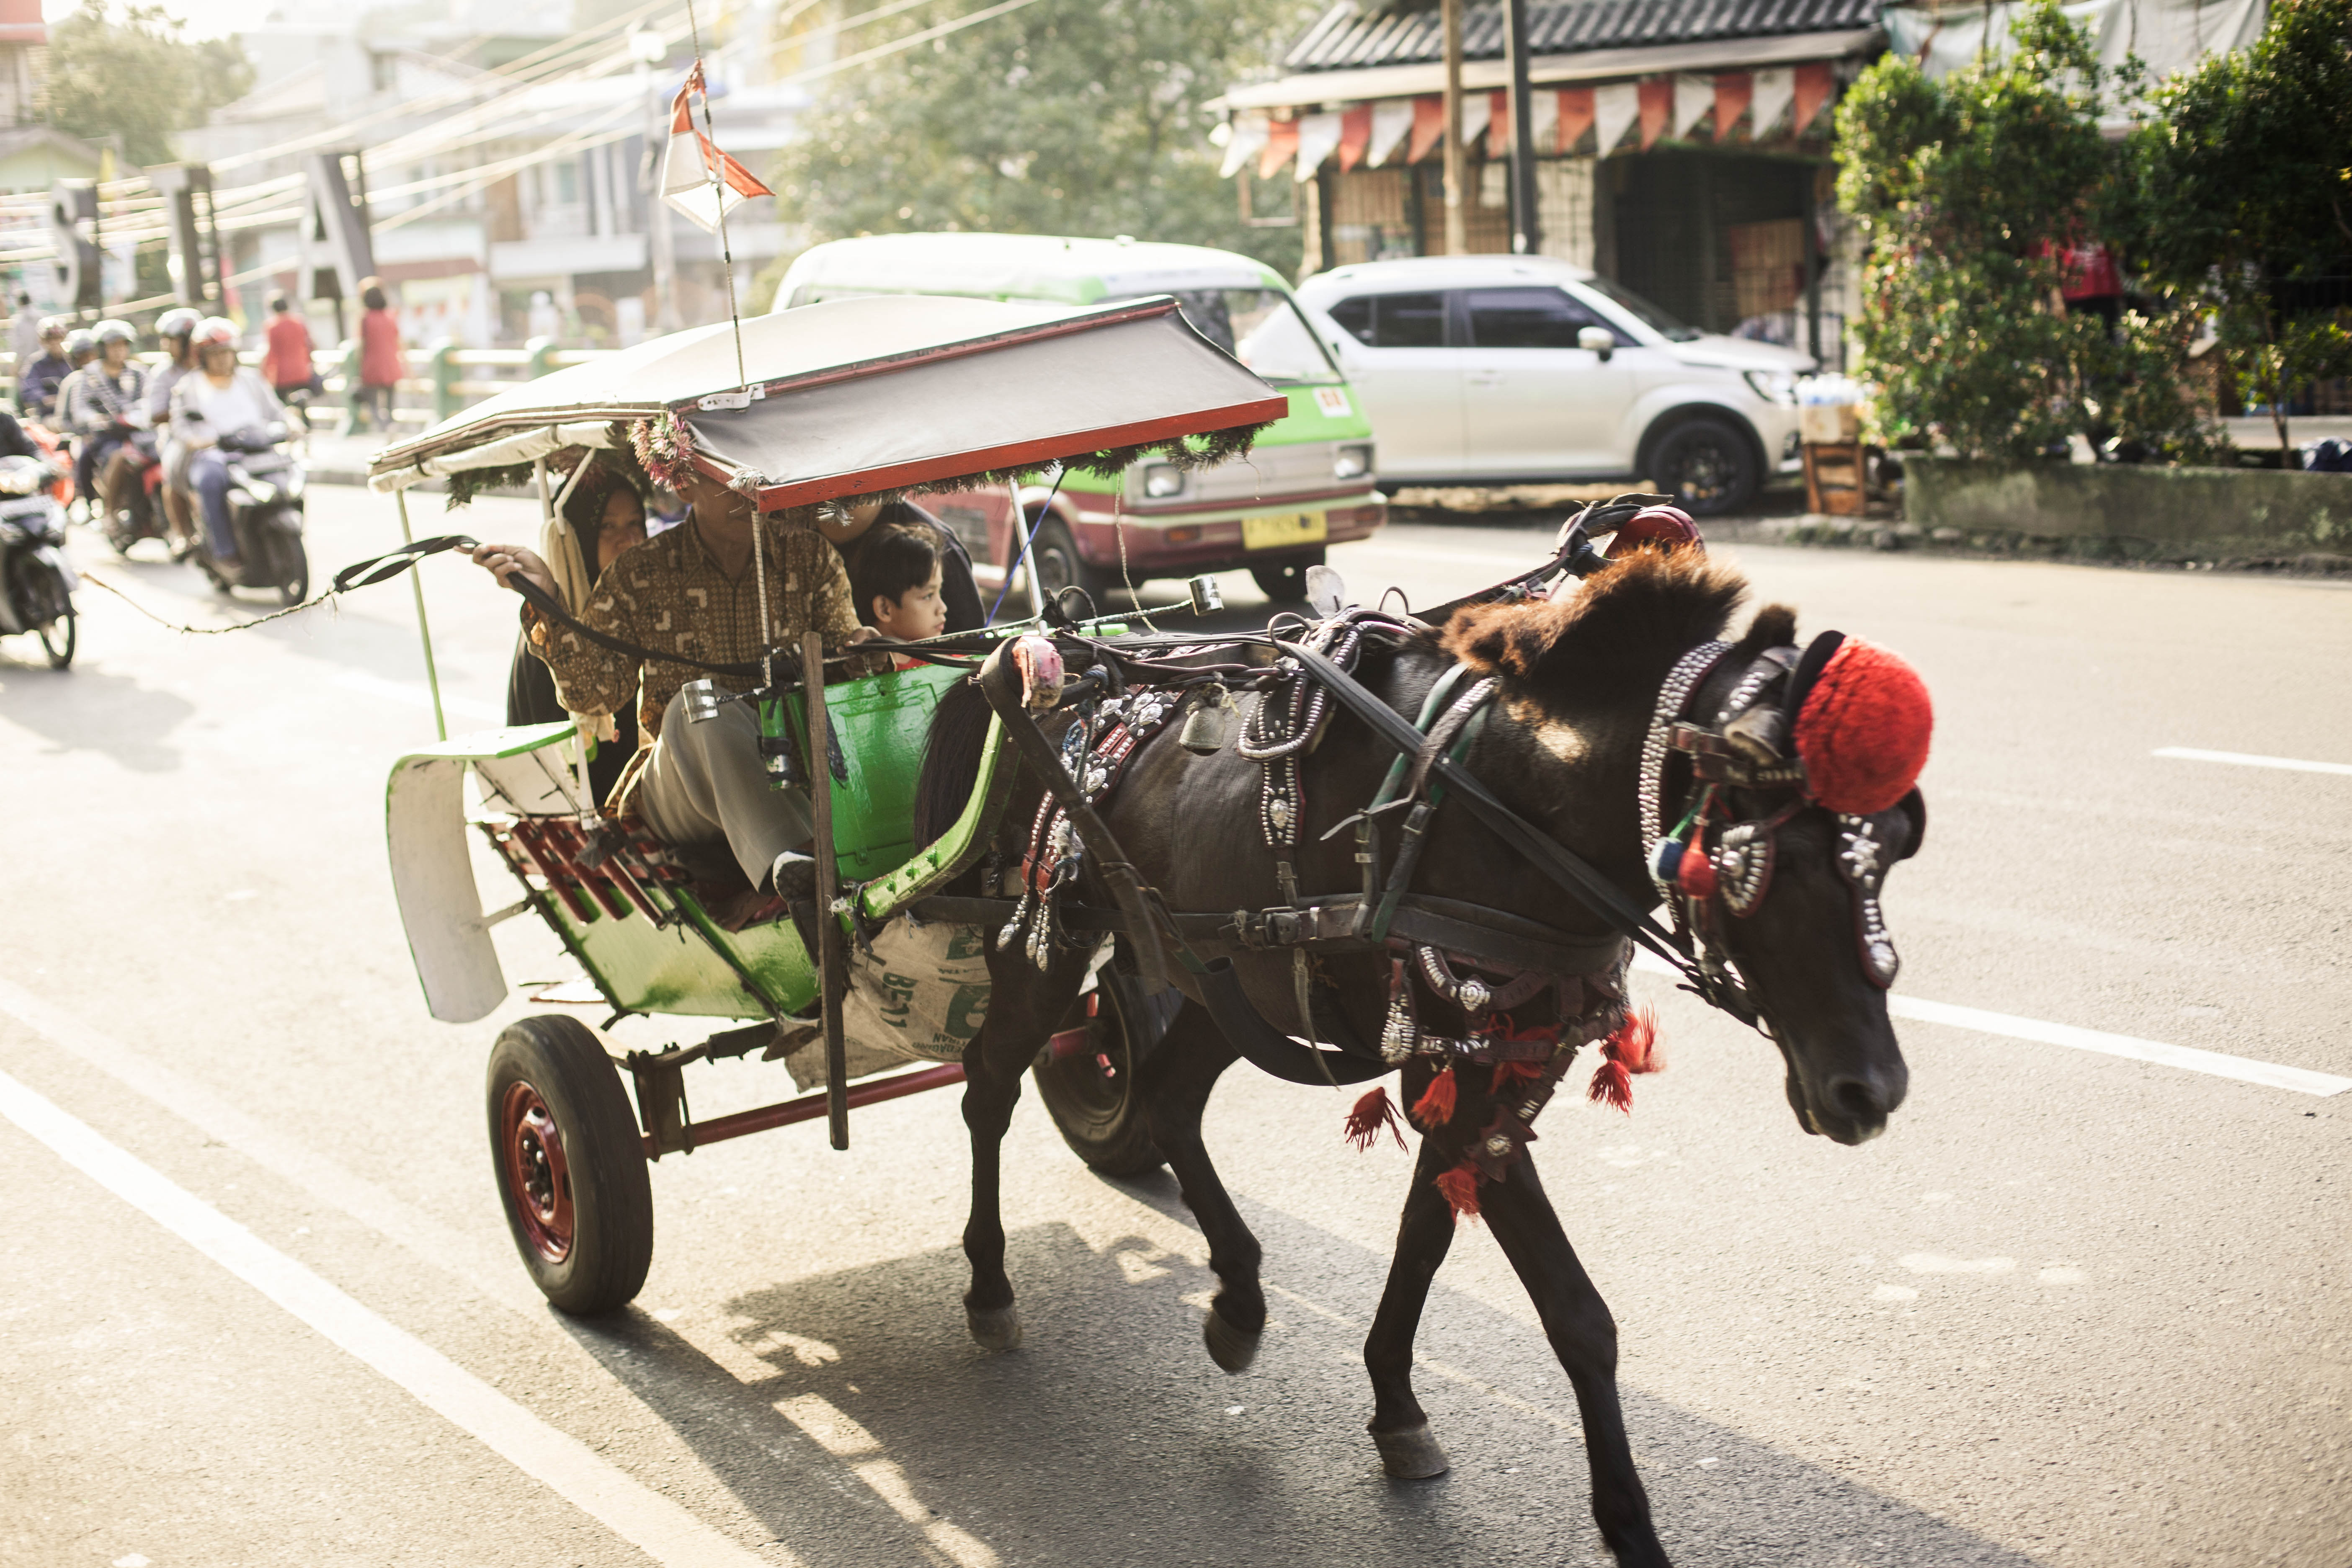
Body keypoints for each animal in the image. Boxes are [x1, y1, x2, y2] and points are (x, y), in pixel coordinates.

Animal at [908, 545, 1919, 1561]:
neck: (1512, 808)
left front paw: (1395, 1404)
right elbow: (1576, 1313)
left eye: (1892, 851)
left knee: (1164, 1095)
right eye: (1769, 863)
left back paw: (1238, 1295)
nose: (1870, 1091)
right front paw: (1629, 1525)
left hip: (1224, 973)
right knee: (989, 1088)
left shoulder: (1491, 1065)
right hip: (1045, 944)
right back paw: (990, 1284)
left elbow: (1425, 1232)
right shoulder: (1456, 1067)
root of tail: (1041, 656)